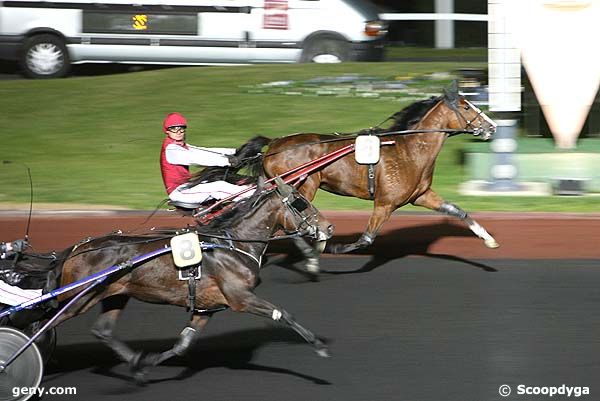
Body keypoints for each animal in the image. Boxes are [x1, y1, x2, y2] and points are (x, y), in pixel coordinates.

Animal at [3, 178, 332, 382]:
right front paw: (318, 345)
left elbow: (183, 344)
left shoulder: (207, 307)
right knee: (38, 324)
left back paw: (134, 364)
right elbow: (283, 314)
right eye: (301, 203)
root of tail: (75, 249)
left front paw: (147, 364)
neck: (230, 244)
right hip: (77, 298)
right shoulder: (240, 298)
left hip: (113, 294)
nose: (328, 226)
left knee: (102, 330)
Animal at [262, 87, 496, 256]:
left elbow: (457, 210)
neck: (409, 150)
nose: (492, 126)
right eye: (466, 107)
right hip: (302, 188)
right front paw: (330, 246)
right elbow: (365, 239)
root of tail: (274, 144)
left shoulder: (421, 196)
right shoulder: (385, 204)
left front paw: (488, 238)